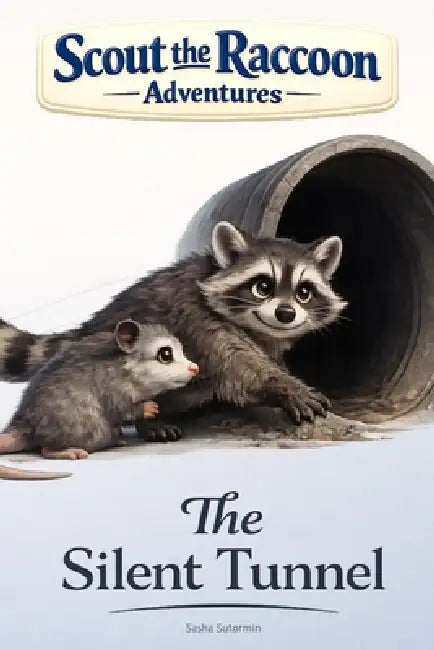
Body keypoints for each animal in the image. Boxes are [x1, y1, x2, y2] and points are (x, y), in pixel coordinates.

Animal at [0, 222, 346, 435]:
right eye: (262, 286)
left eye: (304, 292)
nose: (286, 313)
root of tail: (93, 322)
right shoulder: (197, 318)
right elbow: (239, 366)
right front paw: (284, 387)